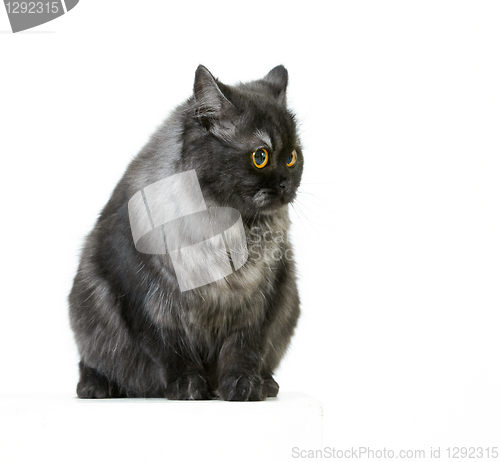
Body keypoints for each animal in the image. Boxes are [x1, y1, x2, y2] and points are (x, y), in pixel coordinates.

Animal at [68, 64, 302, 400]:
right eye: (261, 157)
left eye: (293, 157)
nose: (285, 183)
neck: (229, 226)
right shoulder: (145, 298)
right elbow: (172, 350)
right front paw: (188, 386)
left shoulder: (260, 299)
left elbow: (244, 349)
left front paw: (243, 385)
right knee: (91, 362)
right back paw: (96, 386)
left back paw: (267, 383)